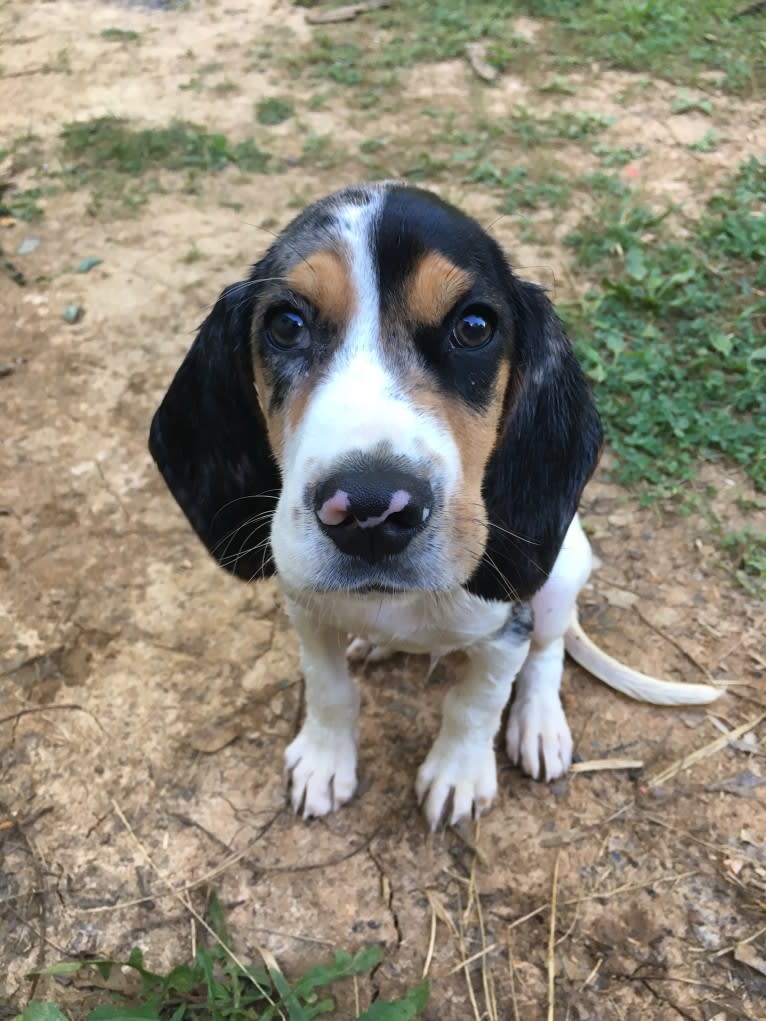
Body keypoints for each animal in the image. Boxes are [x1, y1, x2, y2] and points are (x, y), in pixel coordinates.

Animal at [151, 183, 727, 829]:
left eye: (474, 327)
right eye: (286, 324)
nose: (371, 511)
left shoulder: (506, 629)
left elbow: (476, 702)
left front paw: (458, 773)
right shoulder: (307, 611)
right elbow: (328, 688)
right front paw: (325, 759)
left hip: (562, 571)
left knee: (549, 651)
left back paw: (539, 724)